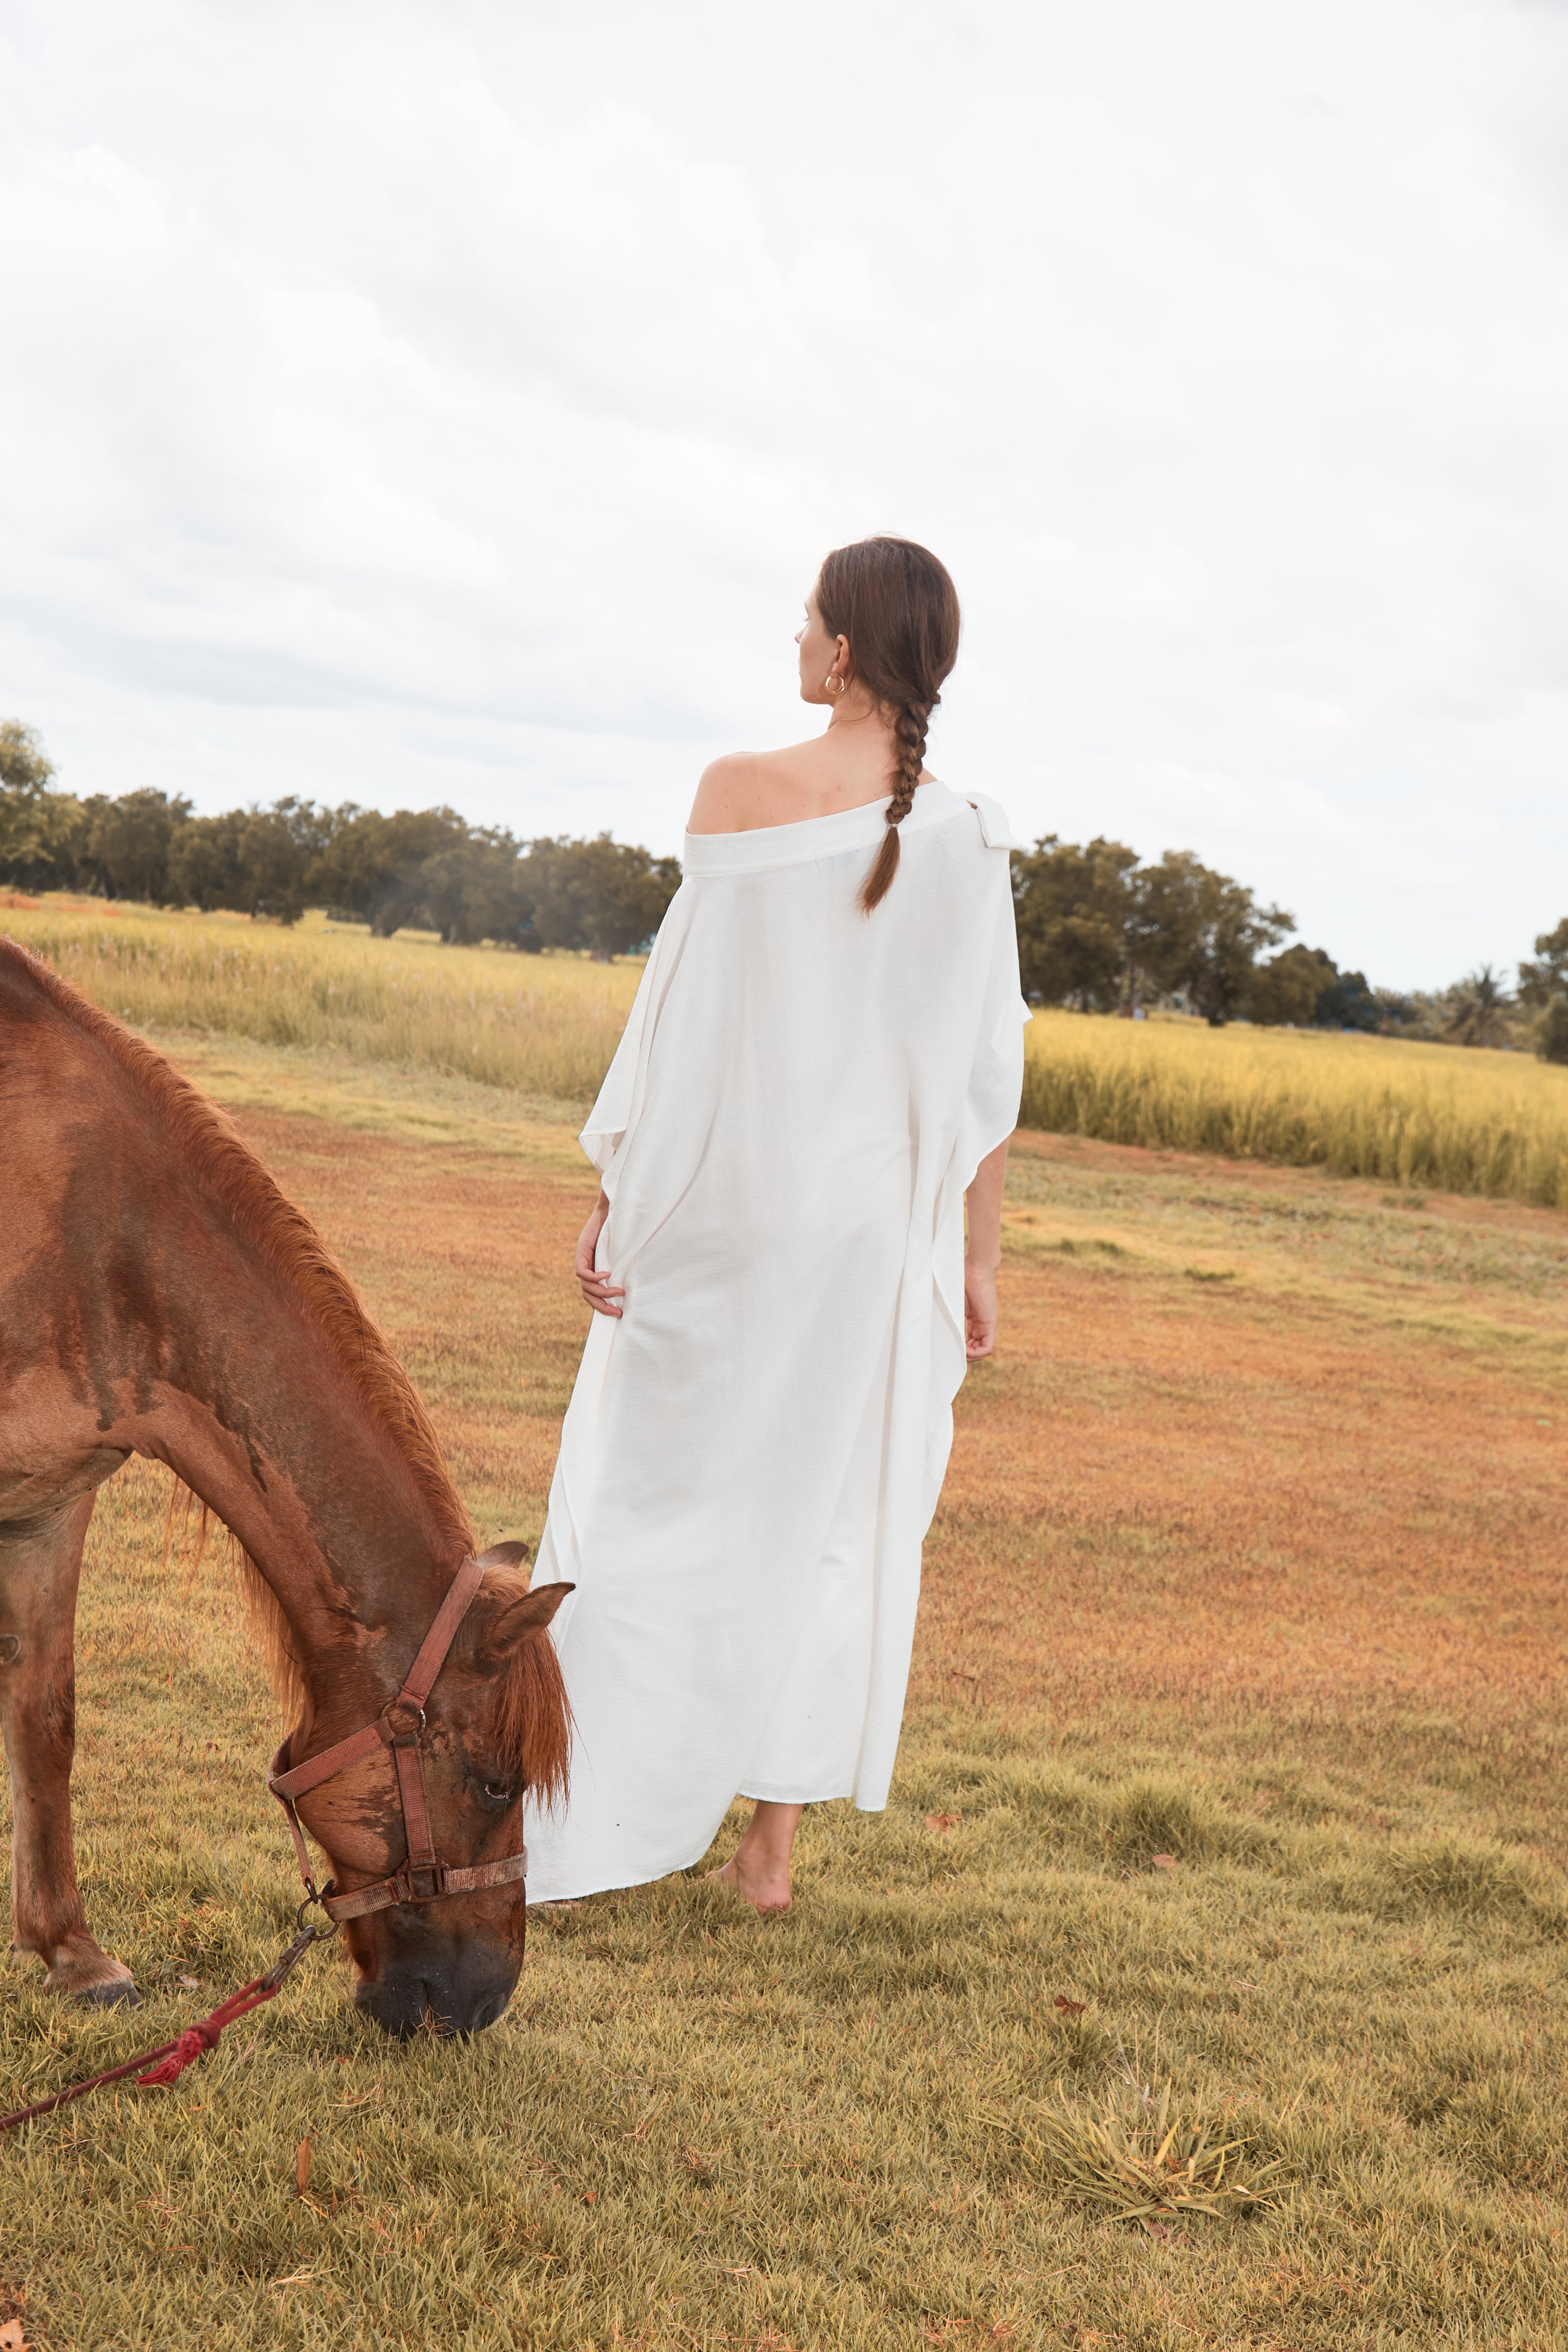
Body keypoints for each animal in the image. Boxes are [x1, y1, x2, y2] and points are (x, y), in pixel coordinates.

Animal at [0, 941, 573, 2041]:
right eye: (495, 1783)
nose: (482, 2003)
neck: (86, 1231)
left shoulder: (49, 1506)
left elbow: (47, 1720)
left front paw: (73, 1954)